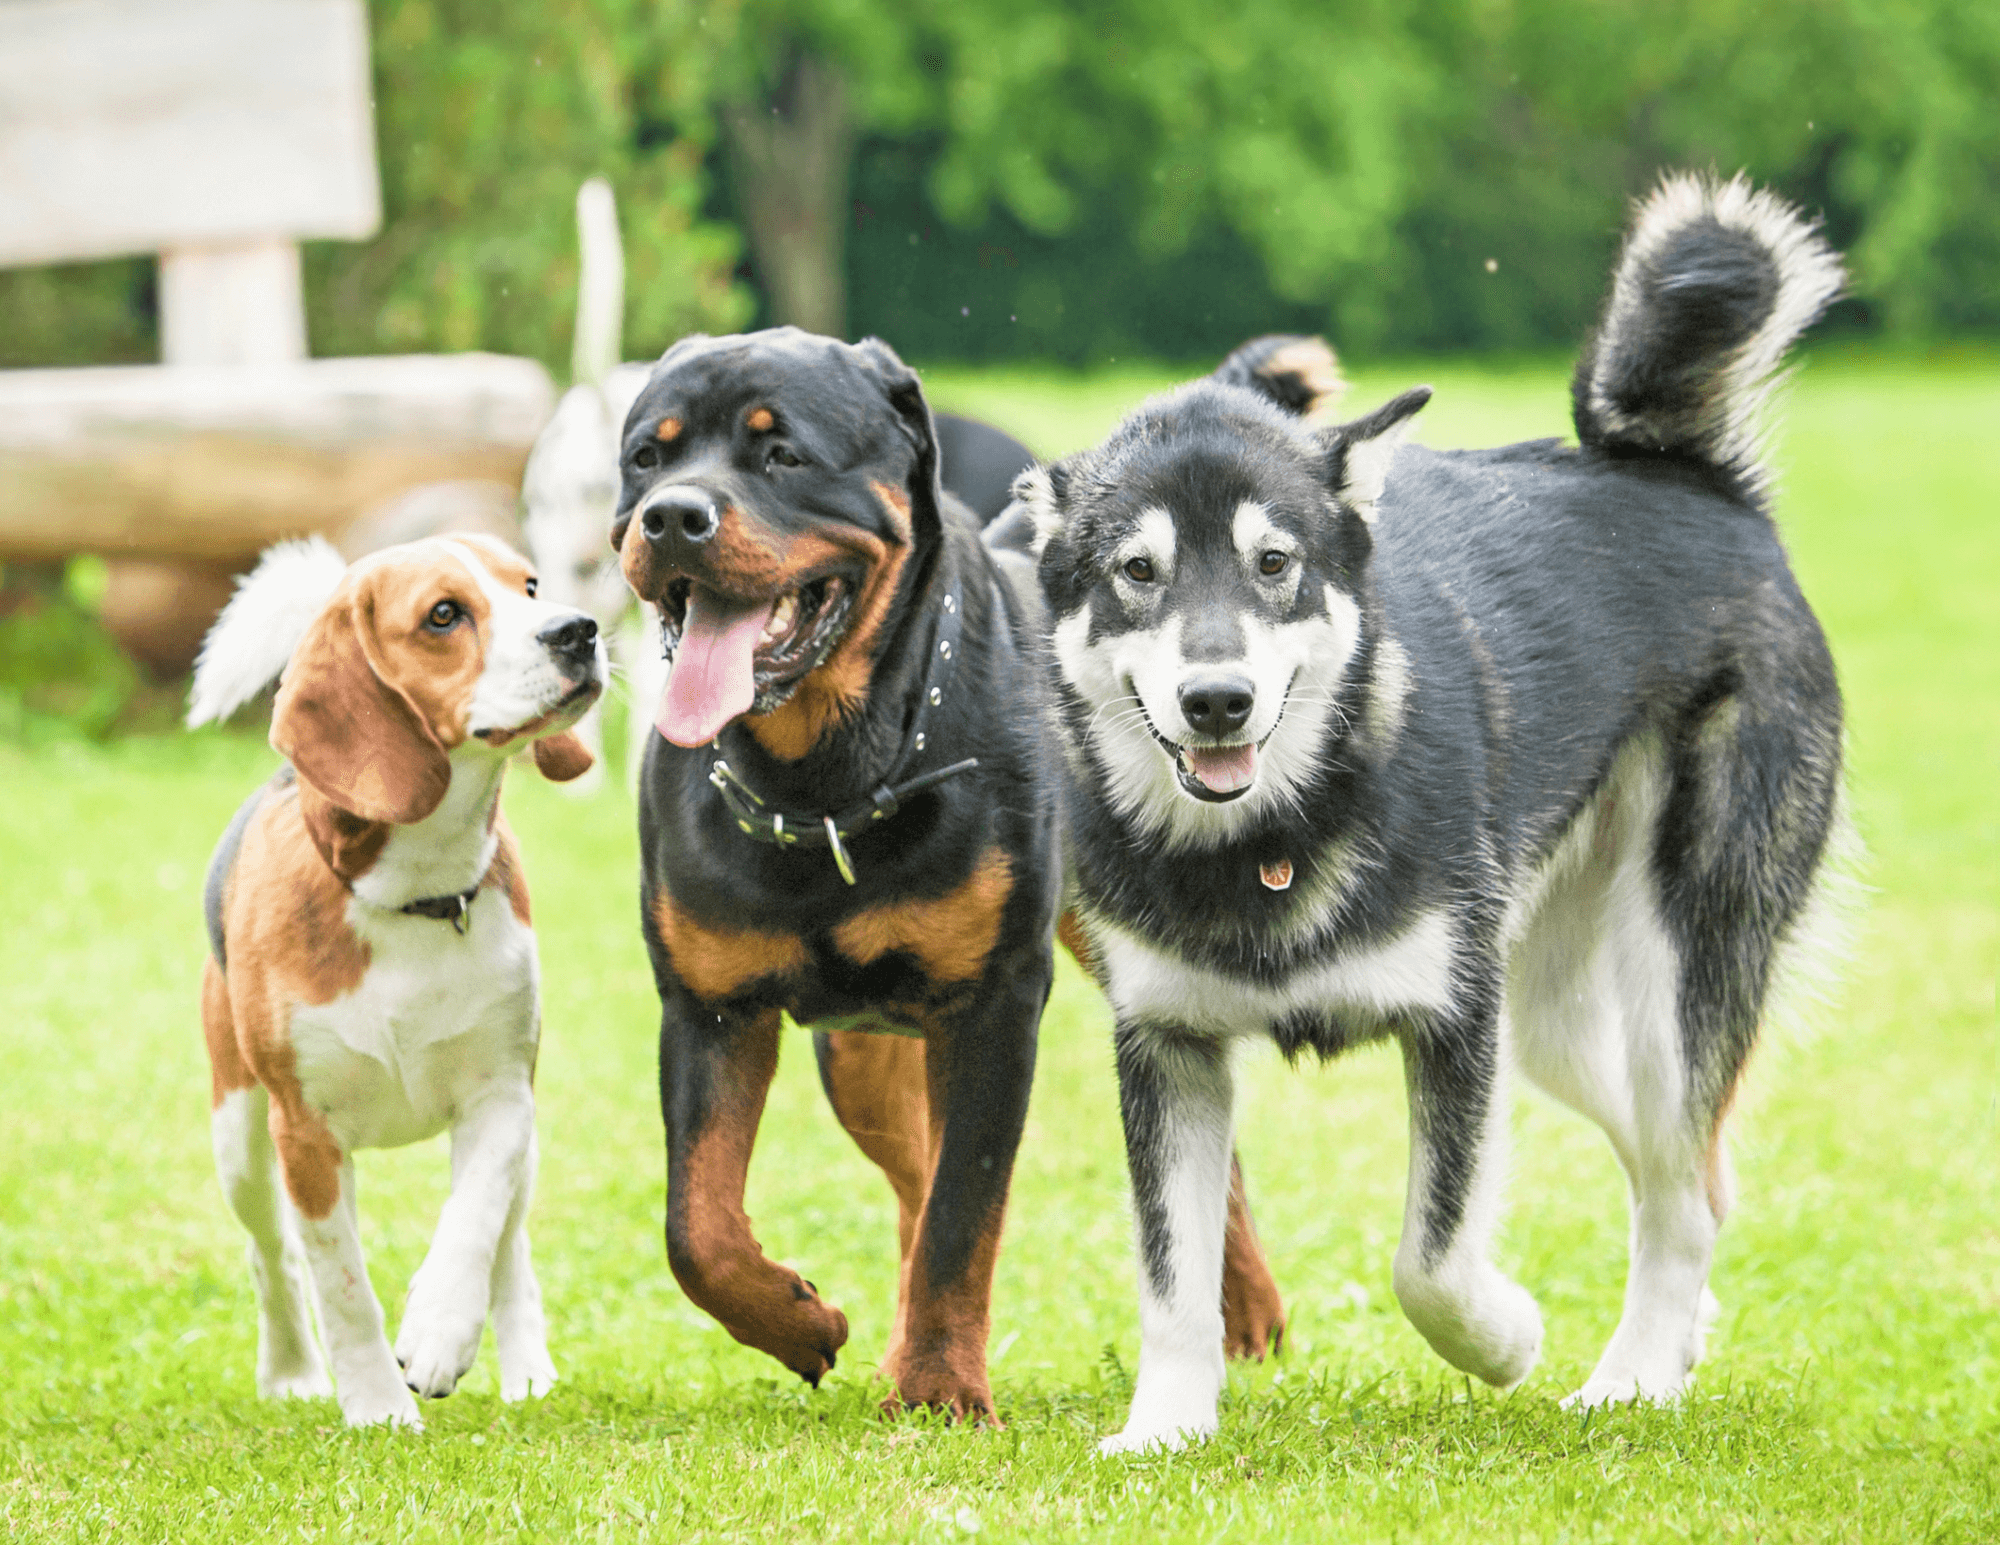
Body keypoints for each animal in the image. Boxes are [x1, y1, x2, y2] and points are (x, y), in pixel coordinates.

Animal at [191, 532, 604, 1424]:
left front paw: (441, 1331)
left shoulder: (502, 1095)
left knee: (510, 1244)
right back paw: (292, 1370)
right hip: (240, 1140)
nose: (580, 630)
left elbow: (474, 1221)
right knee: (272, 1255)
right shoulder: (305, 1134)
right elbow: (342, 1285)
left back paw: (525, 1367)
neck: (417, 891)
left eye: (530, 585)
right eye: (444, 615)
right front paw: (379, 1406)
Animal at [1024, 175, 1848, 1456]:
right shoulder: (1165, 1045)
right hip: (1551, 1018)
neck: (1272, 840)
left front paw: (1503, 1339)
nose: (1217, 700)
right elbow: (1171, 1275)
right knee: (1700, 1177)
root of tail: (1695, 482)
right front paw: (1161, 1430)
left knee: (1678, 1185)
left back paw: (1631, 1376)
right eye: (1134, 572)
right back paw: (1674, 1343)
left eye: (1274, 563)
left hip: (1664, 980)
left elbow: (1429, 1256)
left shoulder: (1454, 1024)